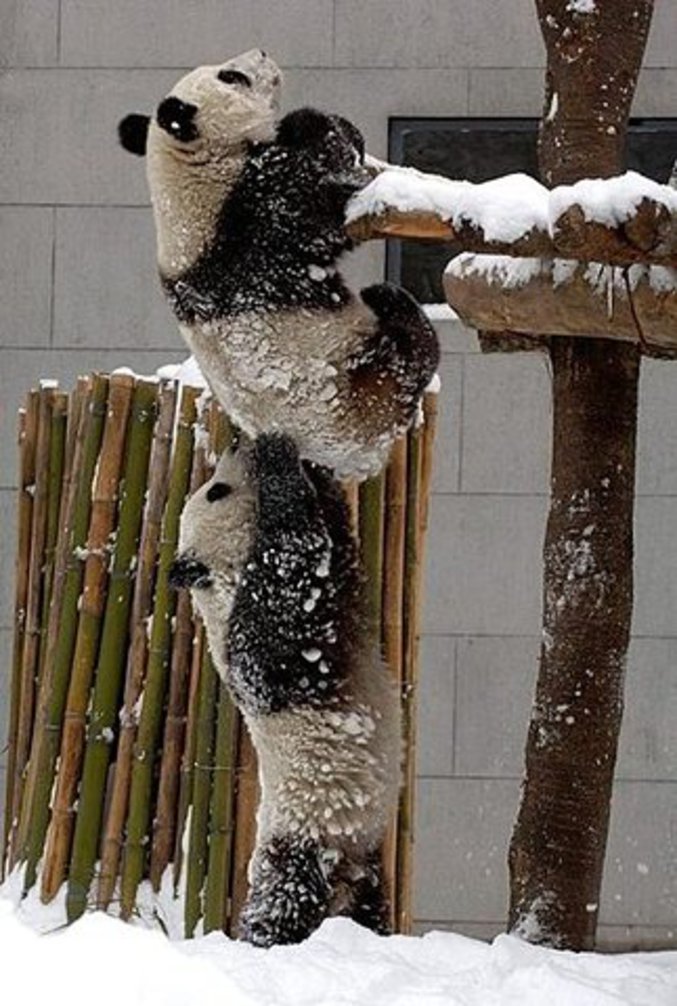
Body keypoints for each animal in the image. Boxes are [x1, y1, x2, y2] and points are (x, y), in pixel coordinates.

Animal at [119, 49, 438, 480]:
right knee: (411, 354)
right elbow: (316, 196)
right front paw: (308, 123)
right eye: (231, 77)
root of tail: (354, 462)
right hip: (365, 383)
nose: (263, 53)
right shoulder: (251, 218)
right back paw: (392, 302)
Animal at [170, 436, 402, 945]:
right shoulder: (256, 641)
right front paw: (278, 458)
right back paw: (263, 939)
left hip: (364, 852)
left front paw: (315, 471)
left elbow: (335, 540)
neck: (219, 577)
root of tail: (342, 879)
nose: (238, 443)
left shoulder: (337, 580)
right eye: (216, 491)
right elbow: (290, 583)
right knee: (283, 901)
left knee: (369, 907)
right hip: (301, 833)